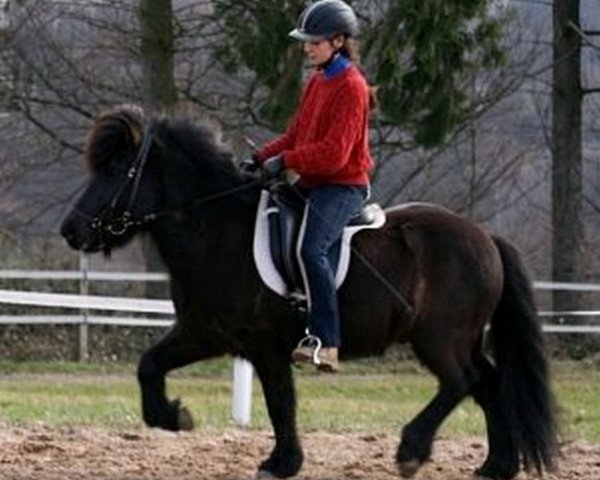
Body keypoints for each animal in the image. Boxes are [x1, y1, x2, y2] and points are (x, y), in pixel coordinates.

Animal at [61, 106, 556, 480]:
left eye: (116, 169)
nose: (71, 230)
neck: (218, 231)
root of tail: (486, 237)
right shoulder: (204, 334)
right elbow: (149, 367)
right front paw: (173, 416)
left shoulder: (264, 346)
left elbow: (281, 403)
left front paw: (282, 463)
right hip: (460, 339)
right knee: (490, 384)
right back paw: (496, 466)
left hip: (439, 338)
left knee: (461, 381)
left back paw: (412, 450)